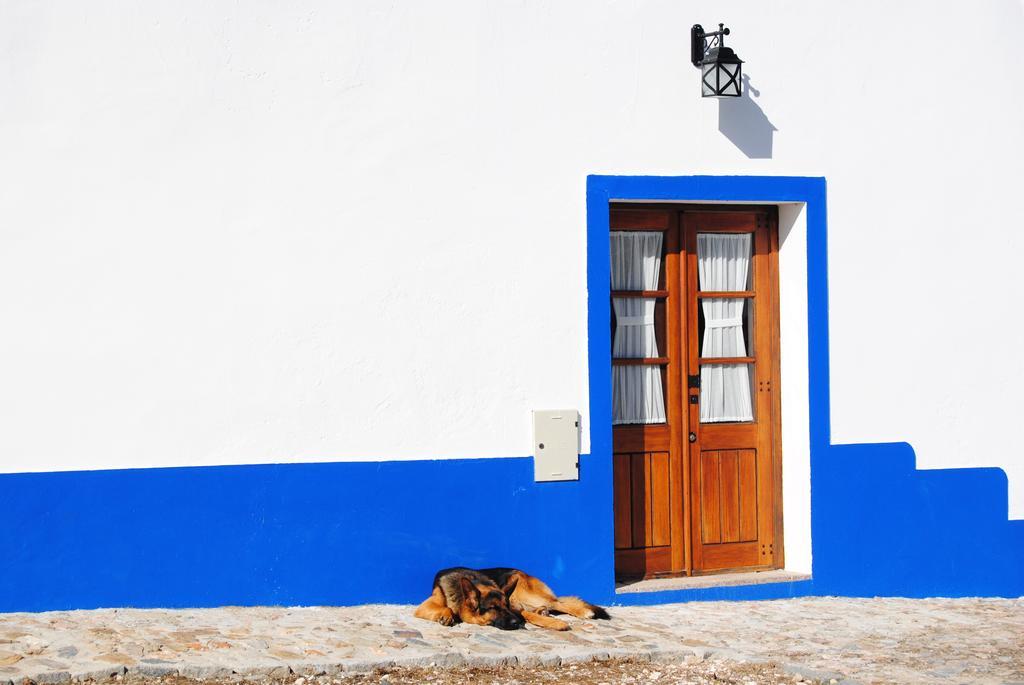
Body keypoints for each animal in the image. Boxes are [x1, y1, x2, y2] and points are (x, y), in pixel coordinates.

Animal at [413, 565, 606, 630]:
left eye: (504, 607)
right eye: (493, 608)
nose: (516, 623)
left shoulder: (513, 607)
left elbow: (524, 614)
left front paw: (555, 623)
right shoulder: (423, 607)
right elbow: (445, 607)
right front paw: (446, 615)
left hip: (523, 594)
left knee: (558, 603)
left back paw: (584, 612)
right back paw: (542, 611)